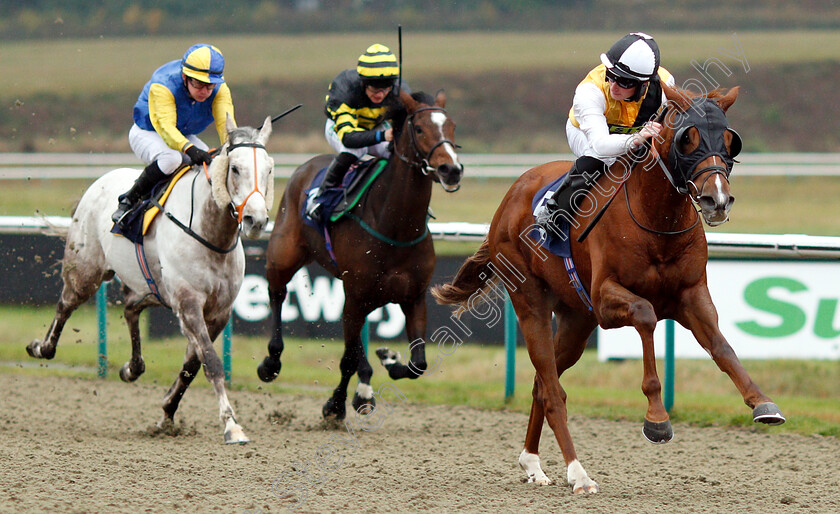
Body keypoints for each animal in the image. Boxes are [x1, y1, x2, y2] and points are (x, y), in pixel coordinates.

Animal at [26, 114, 274, 442]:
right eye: (234, 168)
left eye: (269, 168)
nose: (255, 220)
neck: (212, 235)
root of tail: (100, 182)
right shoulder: (188, 302)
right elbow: (210, 361)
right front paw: (231, 425)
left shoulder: (218, 311)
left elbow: (192, 364)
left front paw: (168, 412)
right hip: (85, 271)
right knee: (65, 305)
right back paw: (41, 347)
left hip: (151, 288)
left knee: (131, 308)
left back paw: (132, 368)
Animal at [260, 90, 462, 418]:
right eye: (419, 128)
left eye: (452, 126)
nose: (451, 169)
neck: (396, 228)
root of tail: (305, 166)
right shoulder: (356, 296)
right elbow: (348, 360)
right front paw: (334, 404)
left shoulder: (413, 297)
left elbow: (417, 363)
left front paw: (389, 359)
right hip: (283, 257)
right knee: (277, 294)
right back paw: (271, 362)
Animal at [430, 84, 784, 492]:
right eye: (688, 138)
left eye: (729, 139)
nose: (718, 200)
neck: (657, 221)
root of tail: (512, 194)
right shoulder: (605, 300)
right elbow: (646, 316)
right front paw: (657, 419)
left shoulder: (691, 295)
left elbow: (722, 347)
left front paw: (762, 403)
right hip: (531, 301)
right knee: (552, 389)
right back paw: (578, 473)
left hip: (576, 320)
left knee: (541, 383)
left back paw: (533, 464)